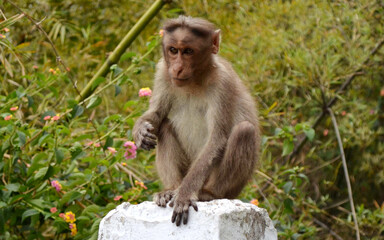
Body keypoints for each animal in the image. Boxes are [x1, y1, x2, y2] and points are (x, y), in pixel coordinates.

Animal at [133, 15, 260, 227]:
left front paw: (184, 195)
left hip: (228, 188)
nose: (177, 68)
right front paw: (140, 130)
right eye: (173, 50)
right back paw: (171, 189)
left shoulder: (222, 82)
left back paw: (207, 193)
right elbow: (157, 114)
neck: (195, 79)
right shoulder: (163, 71)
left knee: (245, 130)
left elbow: (217, 138)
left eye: (188, 51)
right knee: (164, 126)